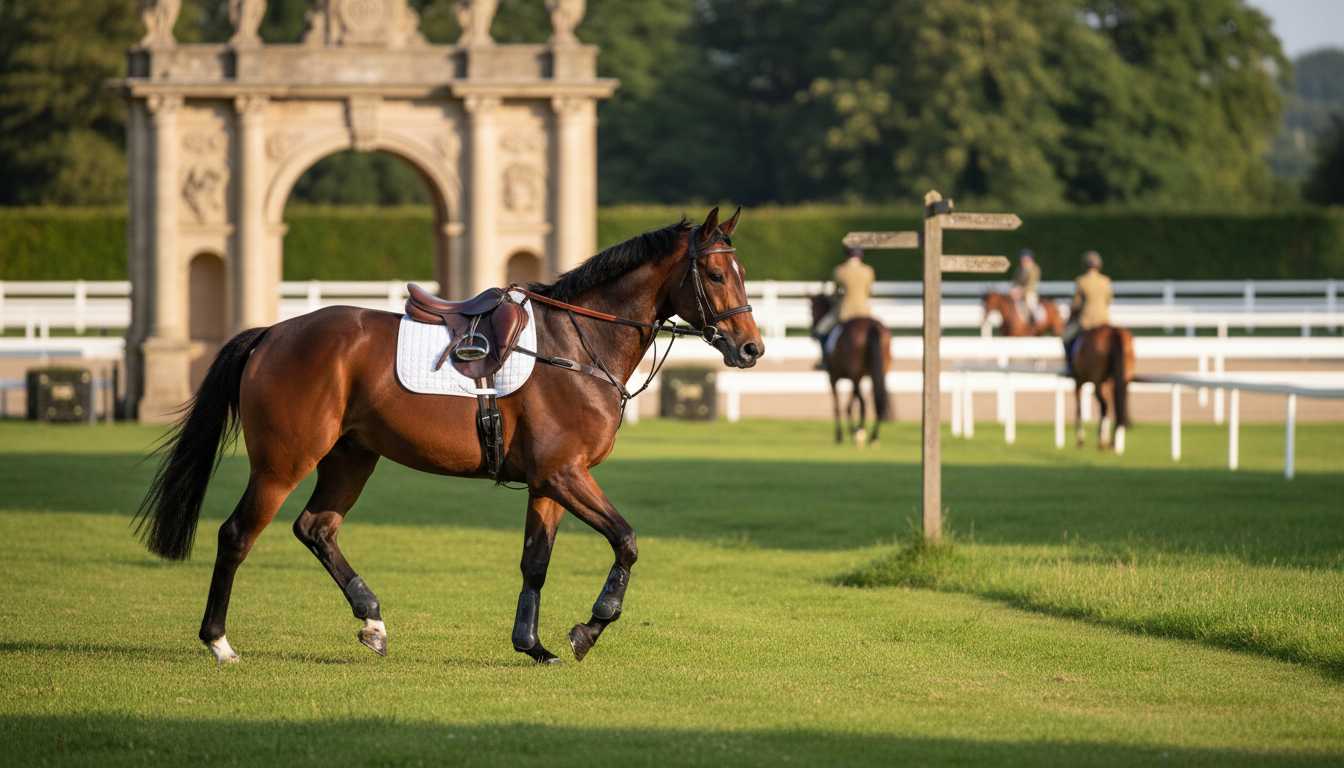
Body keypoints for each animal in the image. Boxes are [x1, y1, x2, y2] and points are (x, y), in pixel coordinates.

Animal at [135, 208, 763, 666]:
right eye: (714, 275)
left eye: (741, 274)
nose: (752, 347)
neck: (576, 344)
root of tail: (272, 333)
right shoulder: (565, 474)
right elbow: (627, 541)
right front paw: (590, 626)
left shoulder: (549, 481)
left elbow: (535, 563)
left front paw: (532, 645)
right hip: (283, 463)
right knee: (237, 535)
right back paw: (219, 641)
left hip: (351, 457)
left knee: (316, 529)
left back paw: (372, 618)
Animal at [809, 295, 892, 447]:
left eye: (811, 309)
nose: (813, 333)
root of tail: (870, 325)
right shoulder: (857, 378)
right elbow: (849, 405)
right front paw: (851, 432)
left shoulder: (833, 377)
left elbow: (838, 406)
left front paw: (840, 435)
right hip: (878, 373)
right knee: (877, 402)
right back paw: (873, 437)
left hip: (854, 375)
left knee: (864, 403)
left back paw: (860, 434)